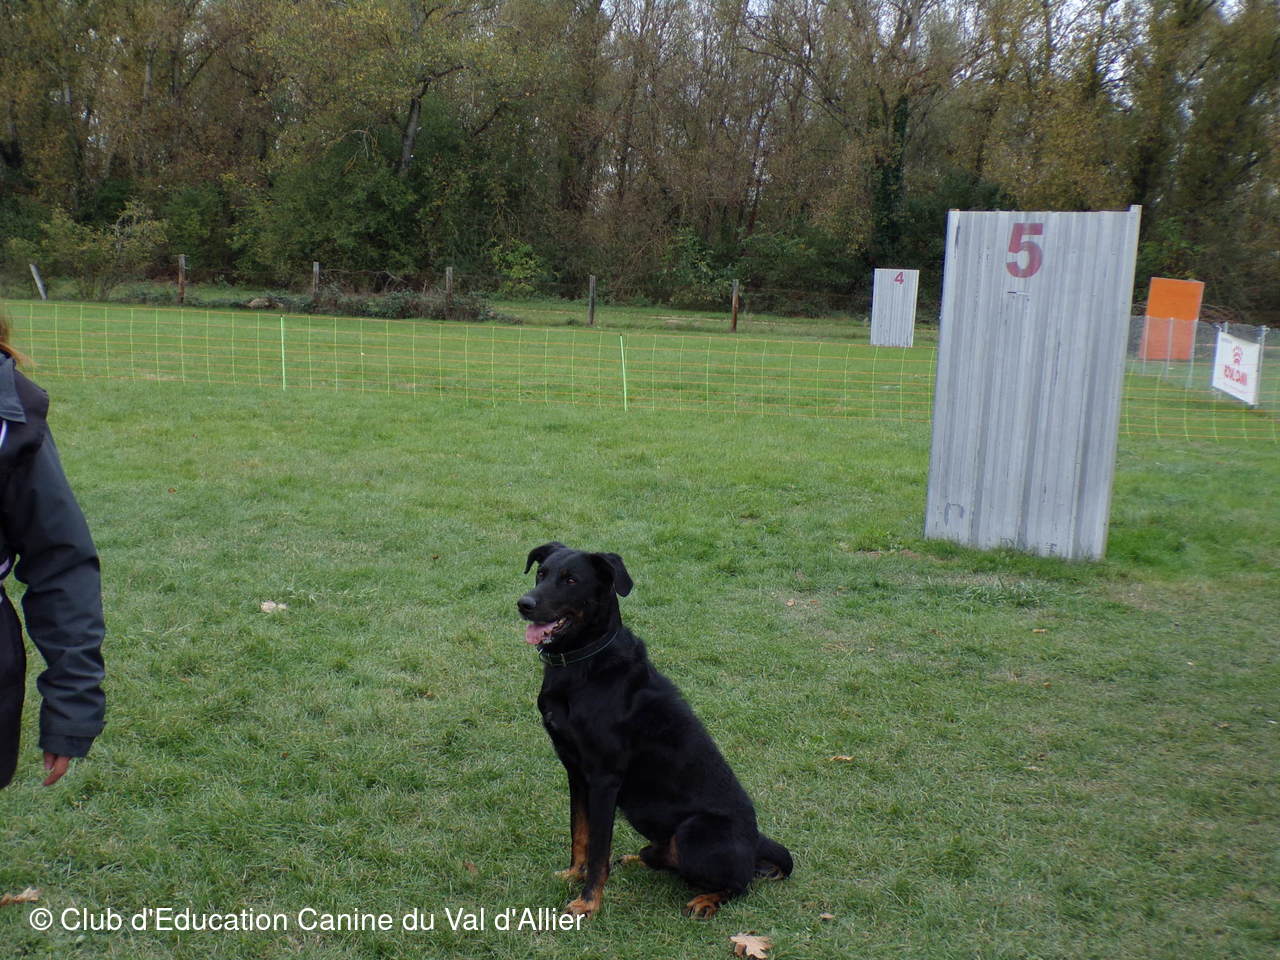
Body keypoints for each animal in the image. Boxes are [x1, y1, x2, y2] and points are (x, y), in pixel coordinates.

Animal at [516, 542, 792, 918]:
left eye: (571, 580)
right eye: (541, 573)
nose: (524, 604)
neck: (583, 665)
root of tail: (757, 840)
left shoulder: (604, 778)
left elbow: (599, 849)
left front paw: (588, 902)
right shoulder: (575, 771)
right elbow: (580, 834)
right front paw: (573, 874)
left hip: (694, 833)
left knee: (742, 883)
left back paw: (706, 901)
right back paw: (639, 859)